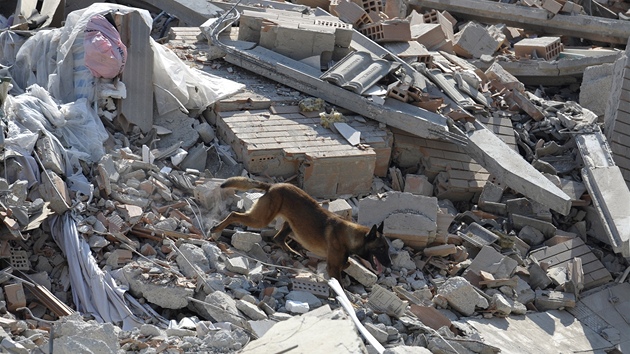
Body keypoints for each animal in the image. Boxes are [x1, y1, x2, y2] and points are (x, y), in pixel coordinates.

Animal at [210, 177, 392, 282]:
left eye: (387, 248)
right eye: (381, 248)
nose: (390, 264)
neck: (350, 235)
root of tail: (273, 186)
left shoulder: (337, 262)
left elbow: (345, 263)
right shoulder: (333, 267)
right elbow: (340, 276)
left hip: (291, 225)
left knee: (278, 237)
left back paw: (292, 252)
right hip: (261, 219)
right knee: (234, 214)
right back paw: (217, 228)